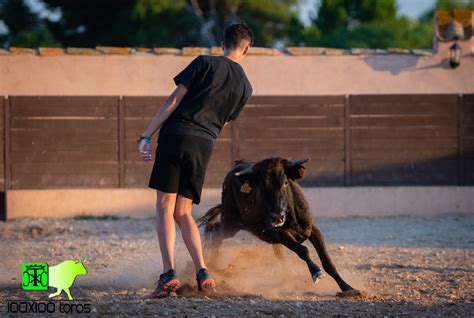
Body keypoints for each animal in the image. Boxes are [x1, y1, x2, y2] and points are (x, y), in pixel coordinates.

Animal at [198, 158, 364, 296]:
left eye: (285, 182)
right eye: (262, 186)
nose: (277, 216)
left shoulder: (313, 230)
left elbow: (327, 261)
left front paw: (348, 288)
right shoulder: (280, 233)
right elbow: (303, 250)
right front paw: (316, 273)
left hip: (233, 224)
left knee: (214, 229)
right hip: (231, 222)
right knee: (214, 230)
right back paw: (213, 265)